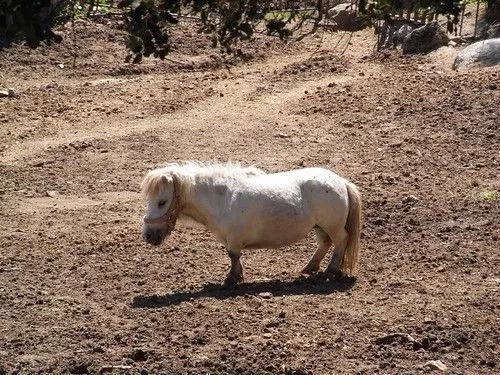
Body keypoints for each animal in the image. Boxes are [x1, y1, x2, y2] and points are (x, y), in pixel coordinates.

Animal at [139, 160, 362, 286]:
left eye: (162, 202)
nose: (147, 235)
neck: (222, 200)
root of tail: (341, 182)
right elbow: (234, 257)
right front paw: (237, 275)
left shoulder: (234, 240)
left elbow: (233, 256)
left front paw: (231, 279)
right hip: (320, 227)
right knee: (325, 243)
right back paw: (310, 267)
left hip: (333, 226)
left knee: (340, 241)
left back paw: (331, 270)